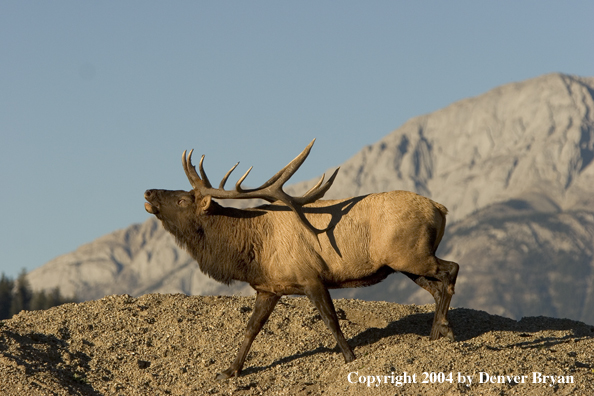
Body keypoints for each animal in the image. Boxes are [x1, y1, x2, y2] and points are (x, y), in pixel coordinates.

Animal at [143, 138, 458, 378]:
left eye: (183, 199)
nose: (148, 191)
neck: (248, 249)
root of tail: (441, 209)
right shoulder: (269, 288)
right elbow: (251, 328)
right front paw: (230, 370)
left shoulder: (311, 276)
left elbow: (331, 320)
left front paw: (349, 357)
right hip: (407, 264)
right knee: (437, 286)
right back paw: (437, 334)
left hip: (412, 256)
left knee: (451, 270)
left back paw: (444, 329)